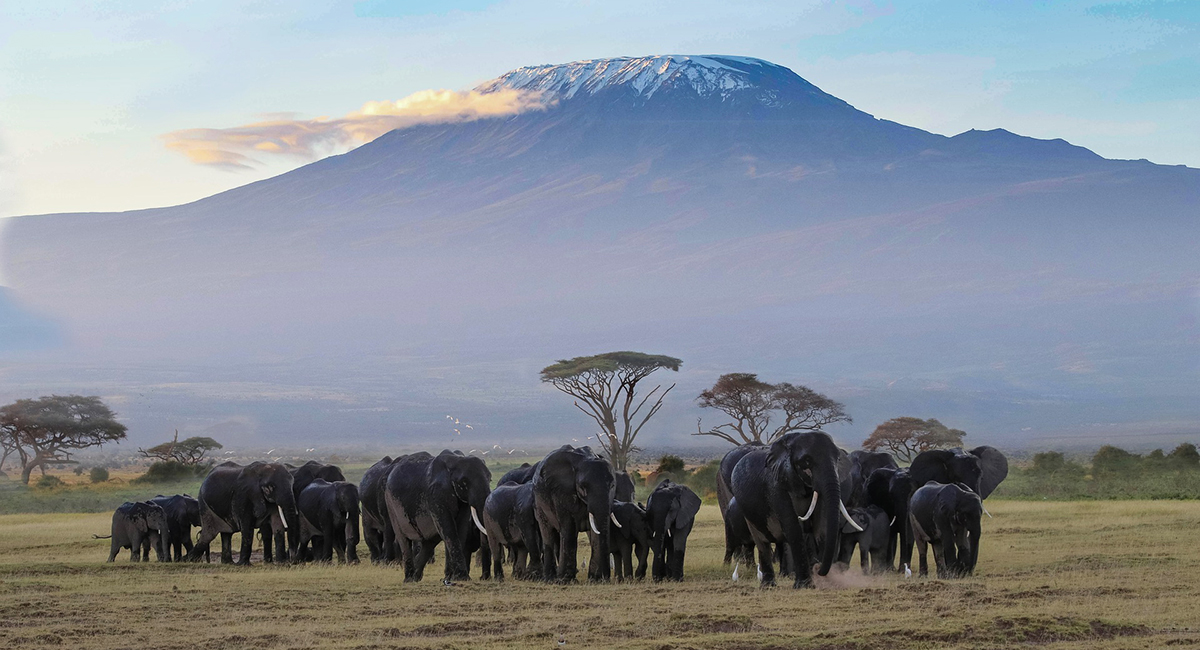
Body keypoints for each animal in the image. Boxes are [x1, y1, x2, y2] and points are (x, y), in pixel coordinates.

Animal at [386, 450, 494, 582]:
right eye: (464, 482)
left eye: (490, 479)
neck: (455, 461)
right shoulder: (436, 495)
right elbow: (449, 529)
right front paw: (462, 578)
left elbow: (460, 529)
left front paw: (452, 578)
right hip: (391, 504)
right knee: (404, 539)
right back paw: (409, 579)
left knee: (430, 541)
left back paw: (416, 577)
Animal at [532, 448, 614, 585]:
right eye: (583, 486)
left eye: (612, 485)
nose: (605, 578)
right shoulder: (561, 492)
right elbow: (569, 528)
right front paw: (565, 580)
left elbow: (595, 532)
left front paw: (596, 579)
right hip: (539, 504)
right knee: (548, 533)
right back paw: (550, 579)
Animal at [724, 434, 859, 590]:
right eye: (807, 461)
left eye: (837, 459)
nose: (818, 569)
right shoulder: (775, 486)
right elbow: (793, 527)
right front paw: (804, 586)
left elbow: (821, 528)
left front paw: (825, 583)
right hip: (746, 513)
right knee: (760, 542)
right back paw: (767, 586)